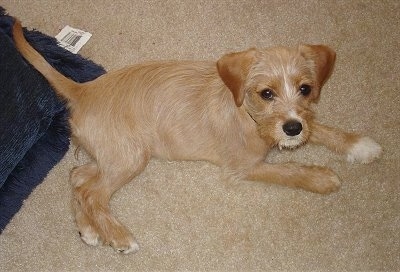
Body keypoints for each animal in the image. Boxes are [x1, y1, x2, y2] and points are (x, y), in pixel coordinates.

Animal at [12, 19, 382, 253]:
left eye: (305, 89)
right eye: (266, 93)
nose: (292, 128)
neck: (247, 113)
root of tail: (84, 89)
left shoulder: (298, 124)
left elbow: (319, 128)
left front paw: (358, 145)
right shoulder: (243, 167)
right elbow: (288, 171)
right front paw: (322, 178)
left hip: (118, 155)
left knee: (78, 178)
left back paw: (89, 230)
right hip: (129, 158)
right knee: (92, 192)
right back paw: (117, 235)